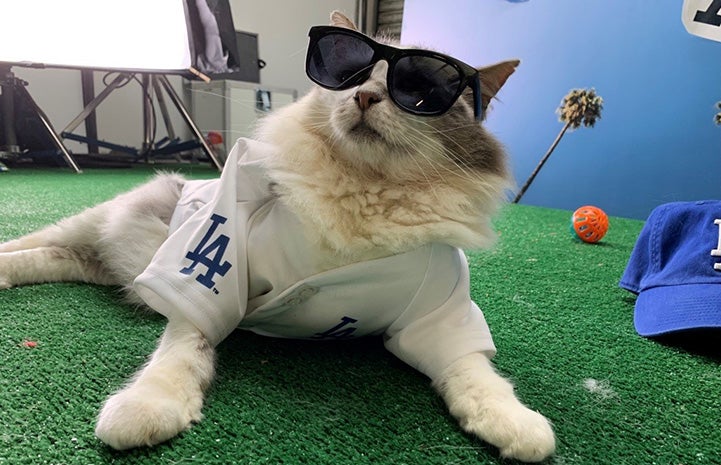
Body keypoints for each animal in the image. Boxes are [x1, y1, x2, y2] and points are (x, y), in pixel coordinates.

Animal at [0, 11, 556, 464]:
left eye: (419, 92)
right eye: (350, 75)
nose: (364, 95)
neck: (365, 196)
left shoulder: (440, 315)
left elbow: (476, 375)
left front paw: (519, 427)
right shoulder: (209, 279)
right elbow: (180, 353)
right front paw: (142, 410)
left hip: (96, 261)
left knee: (54, 257)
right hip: (92, 225)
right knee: (26, 244)